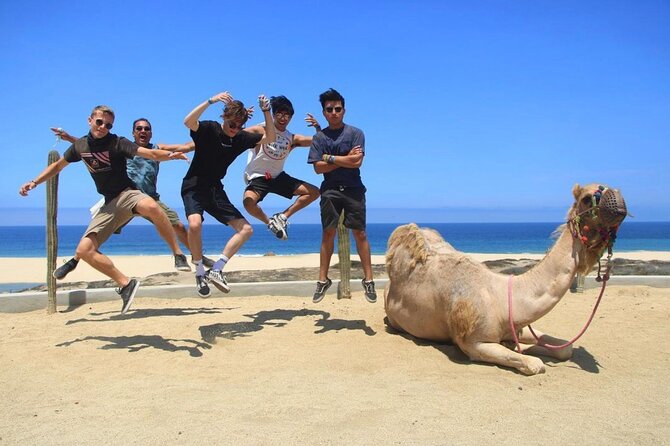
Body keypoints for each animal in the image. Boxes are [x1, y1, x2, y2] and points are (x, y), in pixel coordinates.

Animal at [384, 183, 627, 375]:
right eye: (587, 198)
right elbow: (535, 364)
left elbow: (564, 349)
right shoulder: (473, 343)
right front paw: (524, 352)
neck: (502, 297)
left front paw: (521, 345)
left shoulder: (518, 325)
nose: (620, 202)